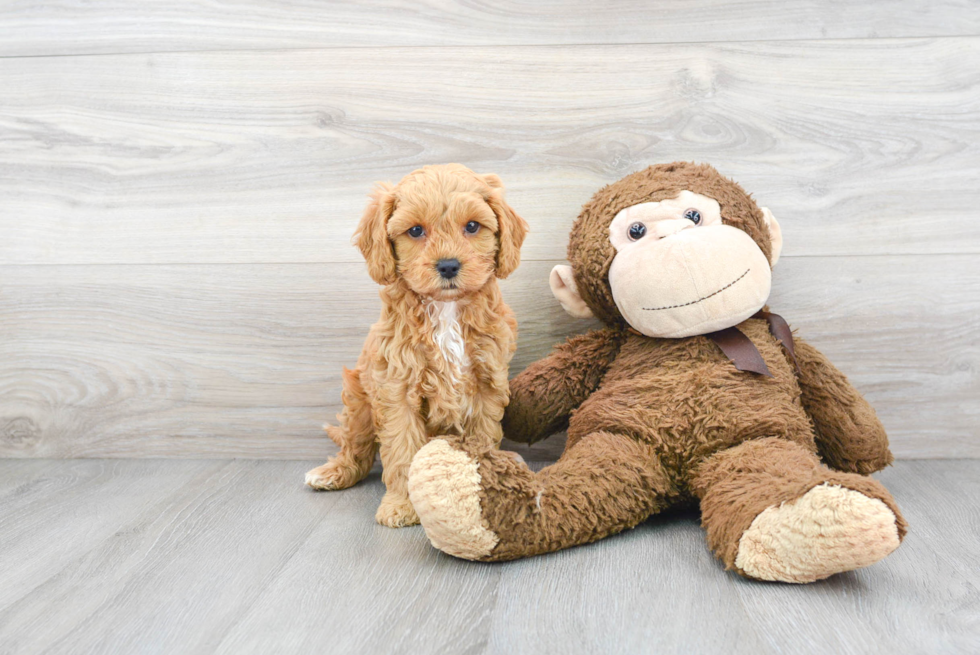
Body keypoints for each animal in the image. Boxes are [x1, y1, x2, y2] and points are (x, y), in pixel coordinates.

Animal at [306, 164, 528, 528]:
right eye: (415, 231)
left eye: (472, 226)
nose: (449, 265)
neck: (446, 309)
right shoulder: (397, 388)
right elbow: (401, 450)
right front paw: (401, 505)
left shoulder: (487, 382)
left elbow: (483, 438)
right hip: (358, 399)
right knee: (355, 445)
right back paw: (334, 472)